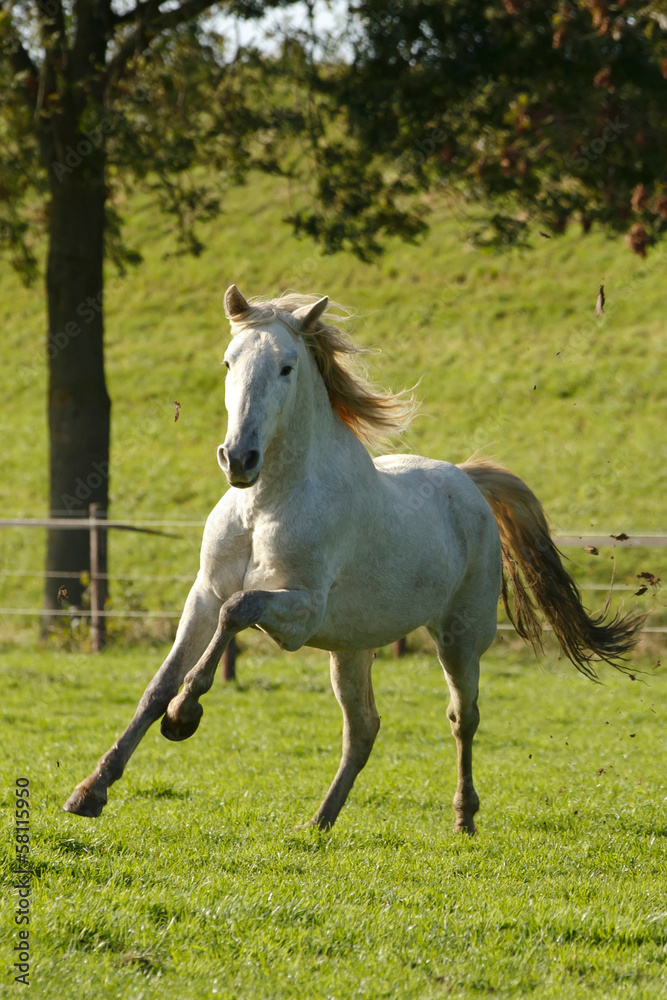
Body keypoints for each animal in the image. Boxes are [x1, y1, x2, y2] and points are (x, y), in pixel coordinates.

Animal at [65, 288, 644, 836]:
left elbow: (238, 609)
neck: (265, 505)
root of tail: (466, 480)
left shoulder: (301, 612)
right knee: (363, 730)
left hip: (460, 636)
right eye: (229, 362)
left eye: (286, 367)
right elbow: (160, 682)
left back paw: (463, 818)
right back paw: (319, 821)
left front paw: (184, 717)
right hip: (352, 648)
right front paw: (91, 790)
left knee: (463, 718)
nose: (239, 459)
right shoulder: (203, 593)